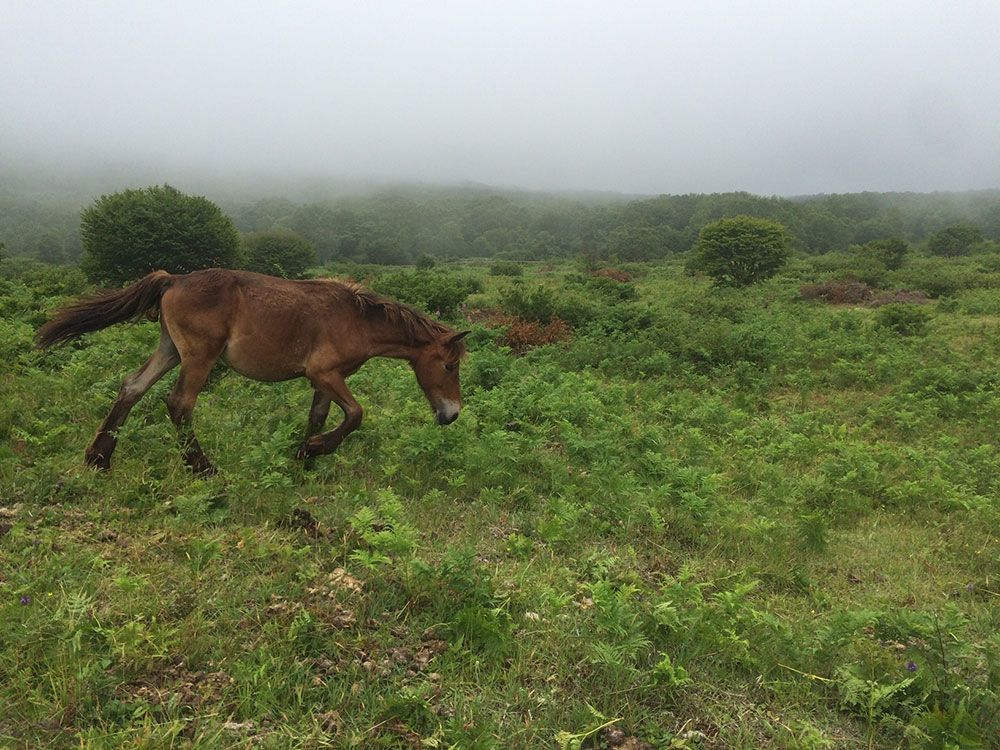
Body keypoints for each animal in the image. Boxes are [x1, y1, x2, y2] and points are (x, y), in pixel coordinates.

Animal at [38, 268, 468, 472]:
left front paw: (302, 458)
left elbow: (319, 416)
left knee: (132, 386)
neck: (358, 319)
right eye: (448, 365)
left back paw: (98, 459)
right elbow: (356, 415)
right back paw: (203, 468)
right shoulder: (323, 374)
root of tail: (173, 279)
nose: (451, 415)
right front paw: (314, 449)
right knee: (179, 404)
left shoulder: (325, 380)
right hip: (199, 356)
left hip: (170, 350)